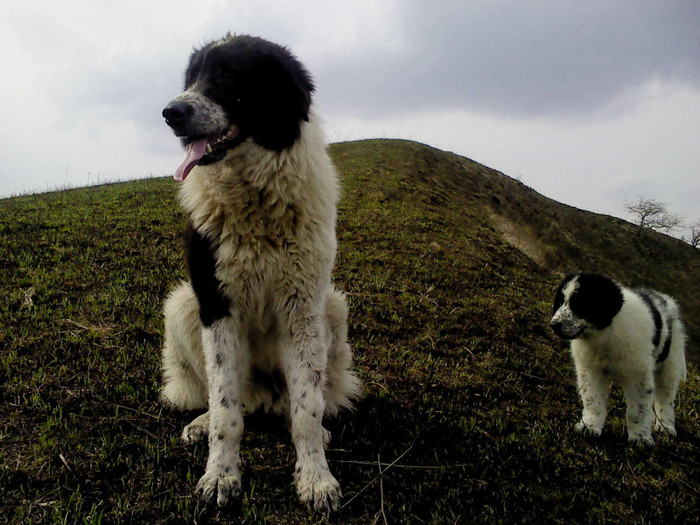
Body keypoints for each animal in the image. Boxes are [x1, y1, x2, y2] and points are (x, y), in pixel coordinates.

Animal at [159, 34, 360, 510]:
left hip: (332, 308)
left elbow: (306, 411)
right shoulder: (217, 304)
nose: (171, 112)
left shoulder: (303, 307)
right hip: (183, 304)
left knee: (300, 404)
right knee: (233, 402)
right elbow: (226, 412)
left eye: (228, 76)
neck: (256, 198)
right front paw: (220, 475)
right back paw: (201, 422)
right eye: (192, 77)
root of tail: (266, 397)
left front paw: (316, 478)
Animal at [548, 270, 688, 446]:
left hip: (670, 363)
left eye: (579, 304)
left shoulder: (638, 375)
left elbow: (639, 409)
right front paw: (590, 426)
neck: (604, 334)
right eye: (560, 302)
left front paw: (640, 437)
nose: (554, 325)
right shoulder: (591, 370)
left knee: (666, 399)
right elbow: (592, 399)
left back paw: (666, 426)